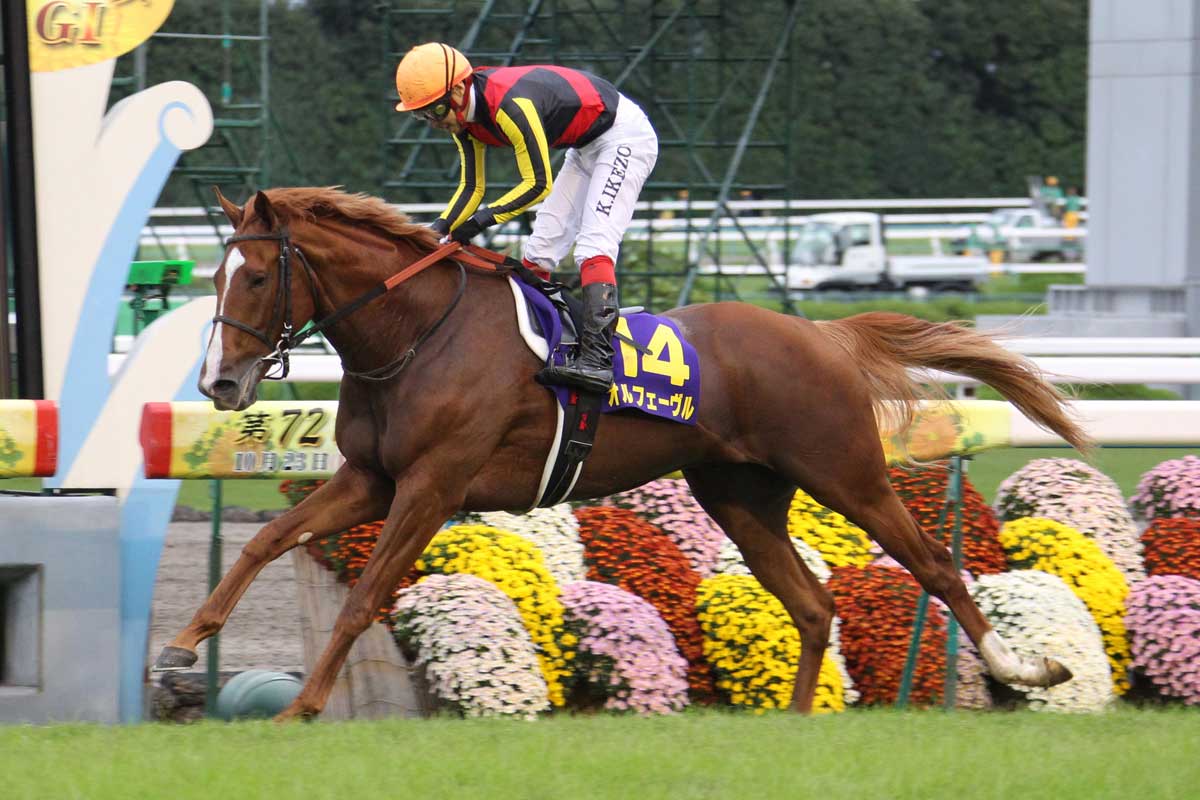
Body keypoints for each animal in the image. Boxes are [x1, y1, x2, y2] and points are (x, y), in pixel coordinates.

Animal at [156, 186, 1089, 720]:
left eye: (256, 277)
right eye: (214, 276)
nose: (219, 383)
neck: (419, 331)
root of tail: (821, 334)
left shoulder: (432, 485)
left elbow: (362, 599)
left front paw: (303, 707)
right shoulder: (373, 477)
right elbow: (267, 540)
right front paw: (184, 643)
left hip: (844, 471)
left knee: (933, 564)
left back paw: (1023, 669)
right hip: (740, 494)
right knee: (813, 604)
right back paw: (793, 722)